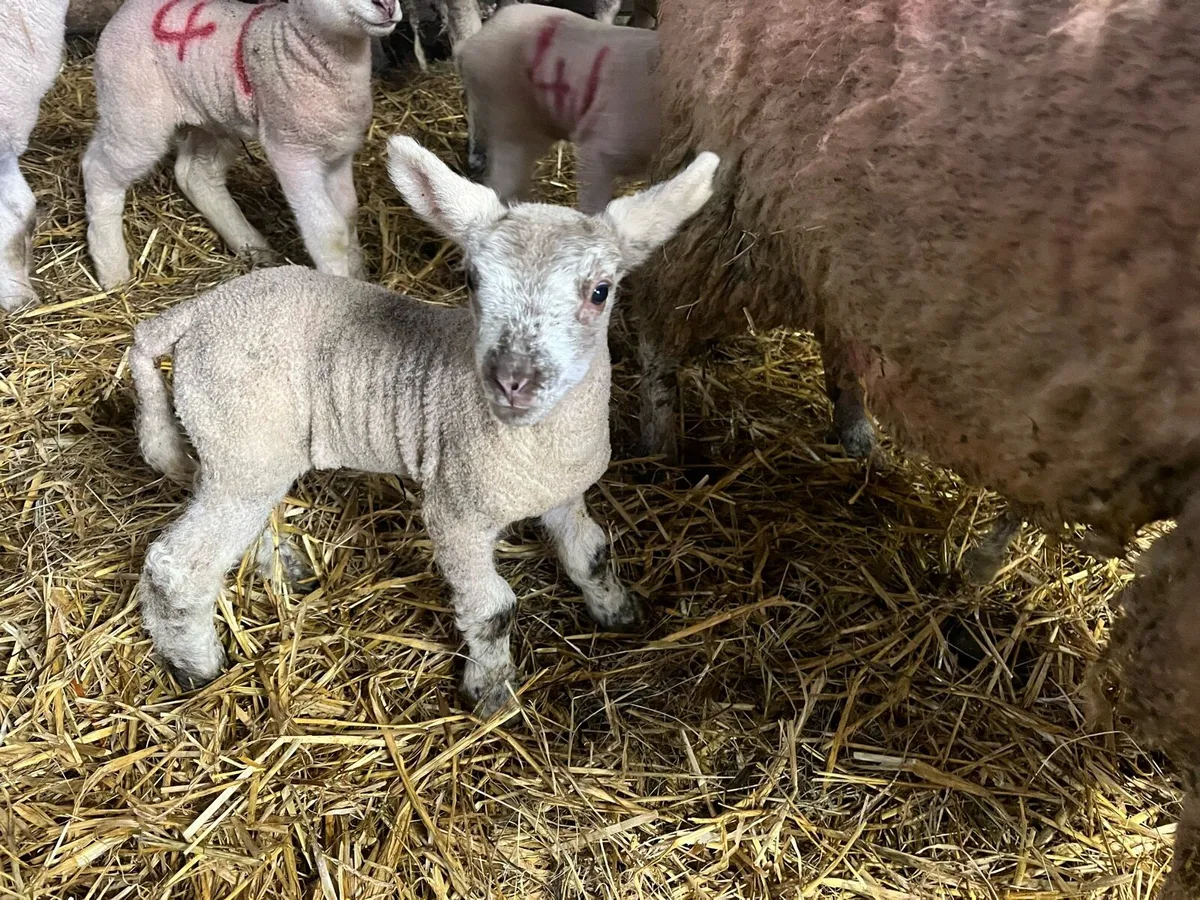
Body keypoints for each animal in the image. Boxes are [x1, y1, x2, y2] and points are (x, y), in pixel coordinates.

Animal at [81, 0, 403, 289]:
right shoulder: (291, 151)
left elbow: (349, 216)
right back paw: (112, 268)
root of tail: (125, 10)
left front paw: (360, 276)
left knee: (195, 175)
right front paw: (340, 283)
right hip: (134, 112)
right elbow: (329, 232)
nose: (386, 5)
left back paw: (254, 248)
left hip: (211, 118)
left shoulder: (339, 153)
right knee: (98, 169)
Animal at [129, 134, 719, 716]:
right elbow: (493, 609)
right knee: (178, 564)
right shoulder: (455, 513)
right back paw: (197, 666)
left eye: (600, 291)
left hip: (241, 445)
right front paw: (492, 694)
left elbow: (591, 554)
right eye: (472, 280)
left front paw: (619, 614)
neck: (537, 445)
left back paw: (283, 566)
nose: (513, 380)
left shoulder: (565, 492)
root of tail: (192, 314)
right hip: (244, 432)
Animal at [635, 0, 1200, 890]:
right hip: (733, 183)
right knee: (656, 311)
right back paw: (661, 451)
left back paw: (858, 439)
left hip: (825, 229)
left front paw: (974, 568)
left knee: (831, 328)